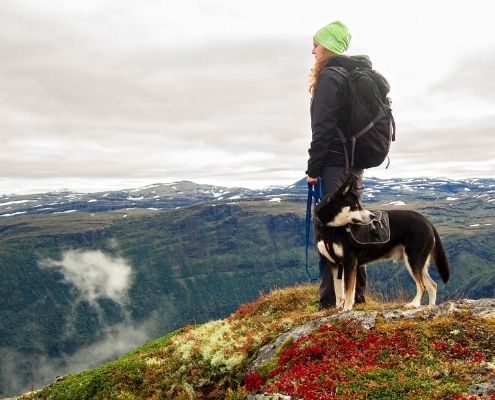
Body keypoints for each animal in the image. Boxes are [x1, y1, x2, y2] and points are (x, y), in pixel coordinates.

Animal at [316, 178, 452, 312]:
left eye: (359, 205)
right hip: (418, 262)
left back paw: (414, 304)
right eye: (356, 206)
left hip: (413, 259)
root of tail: (427, 222)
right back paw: (430, 307)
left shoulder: (350, 262)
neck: (330, 229)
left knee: (422, 286)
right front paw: (338, 308)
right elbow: (338, 291)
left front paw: (347, 309)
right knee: (432, 285)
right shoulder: (335, 265)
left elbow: (348, 291)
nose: (372, 216)